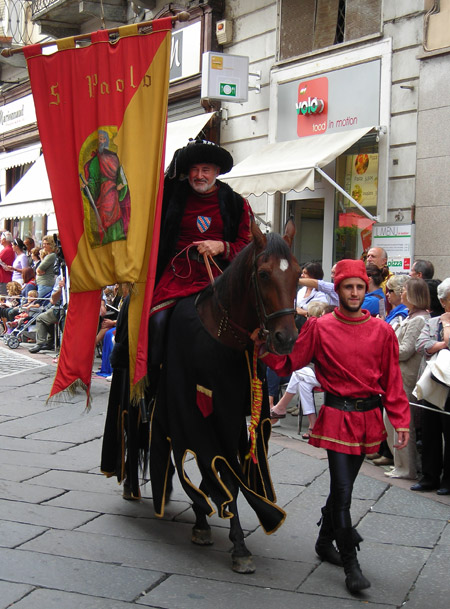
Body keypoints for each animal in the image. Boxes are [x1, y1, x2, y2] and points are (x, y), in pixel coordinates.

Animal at [149, 221, 300, 572]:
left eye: (299, 273)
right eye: (263, 274)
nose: (285, 339)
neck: (223, 334)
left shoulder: (233, 413)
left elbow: (228, 470)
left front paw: (215, 520)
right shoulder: (200, 410)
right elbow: (220, 469)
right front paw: (233, 541)